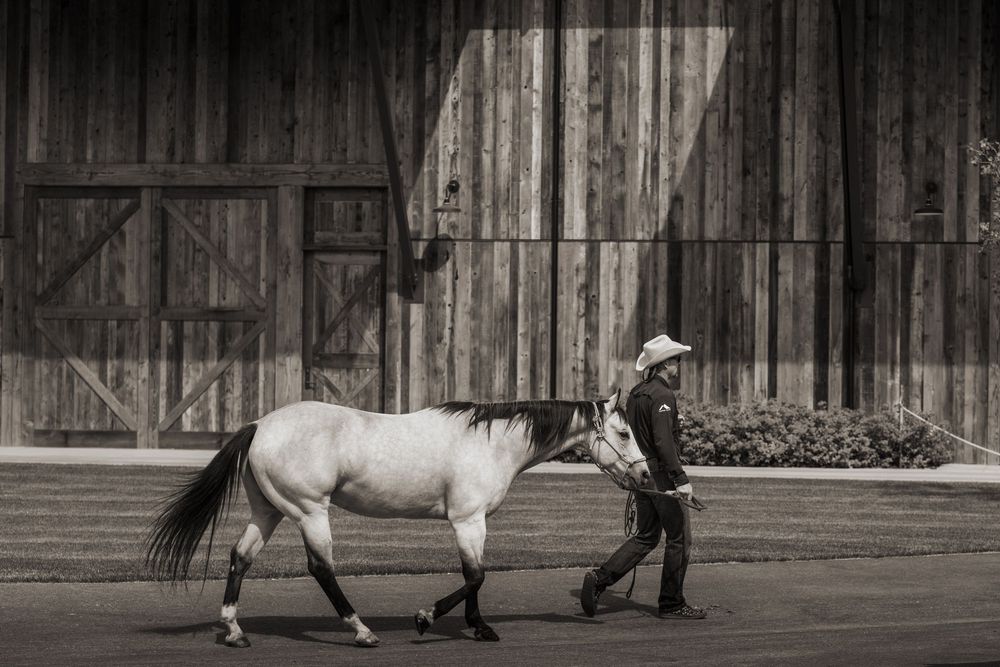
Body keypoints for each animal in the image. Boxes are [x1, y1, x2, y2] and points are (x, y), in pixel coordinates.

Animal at [146, 389, 650, 648]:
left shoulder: (471, 524)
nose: (645, 475)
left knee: (240, 557)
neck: (491, 442)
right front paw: (427, 618)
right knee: (321, 568)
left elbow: (474, 577)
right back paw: (361, 630)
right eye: (624, 432)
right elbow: (475, 575)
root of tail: (259, 426)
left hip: (269, 511)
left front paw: (478, 627)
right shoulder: (467, 520)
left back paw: (234, 630)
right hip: (309, 511)